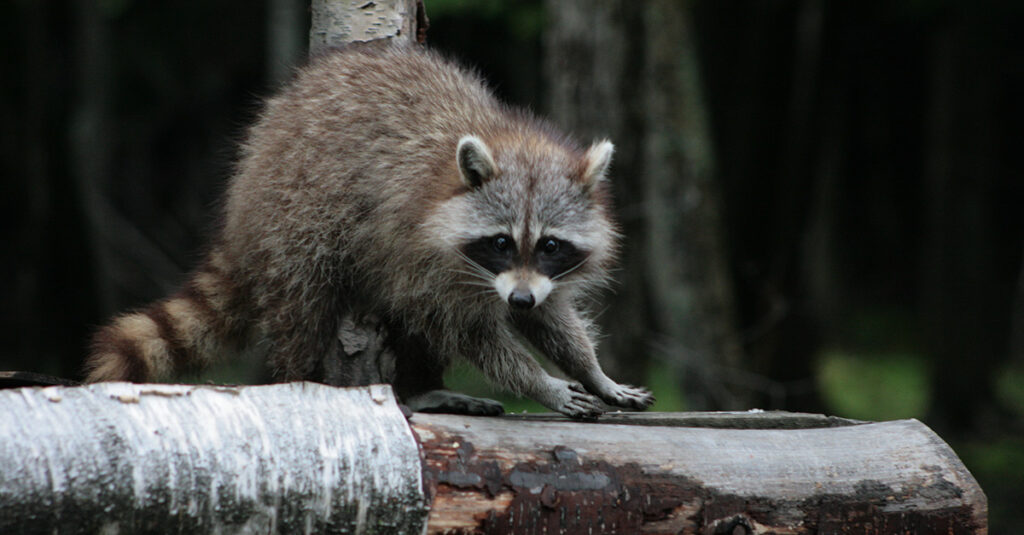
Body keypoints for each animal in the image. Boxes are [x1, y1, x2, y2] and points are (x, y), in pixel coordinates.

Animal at [83, 41, 651, 416]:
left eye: (550, 245)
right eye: (500, 242)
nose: (519, 301)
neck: (511, 139)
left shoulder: (531, 276)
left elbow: (552, 317)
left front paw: (591, 370)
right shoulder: (429, 249)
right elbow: (472, 332)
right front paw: (541, 383)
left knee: (411, 318)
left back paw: (422, 386)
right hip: (295, 218)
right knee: (307, 310)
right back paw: (302, 378)